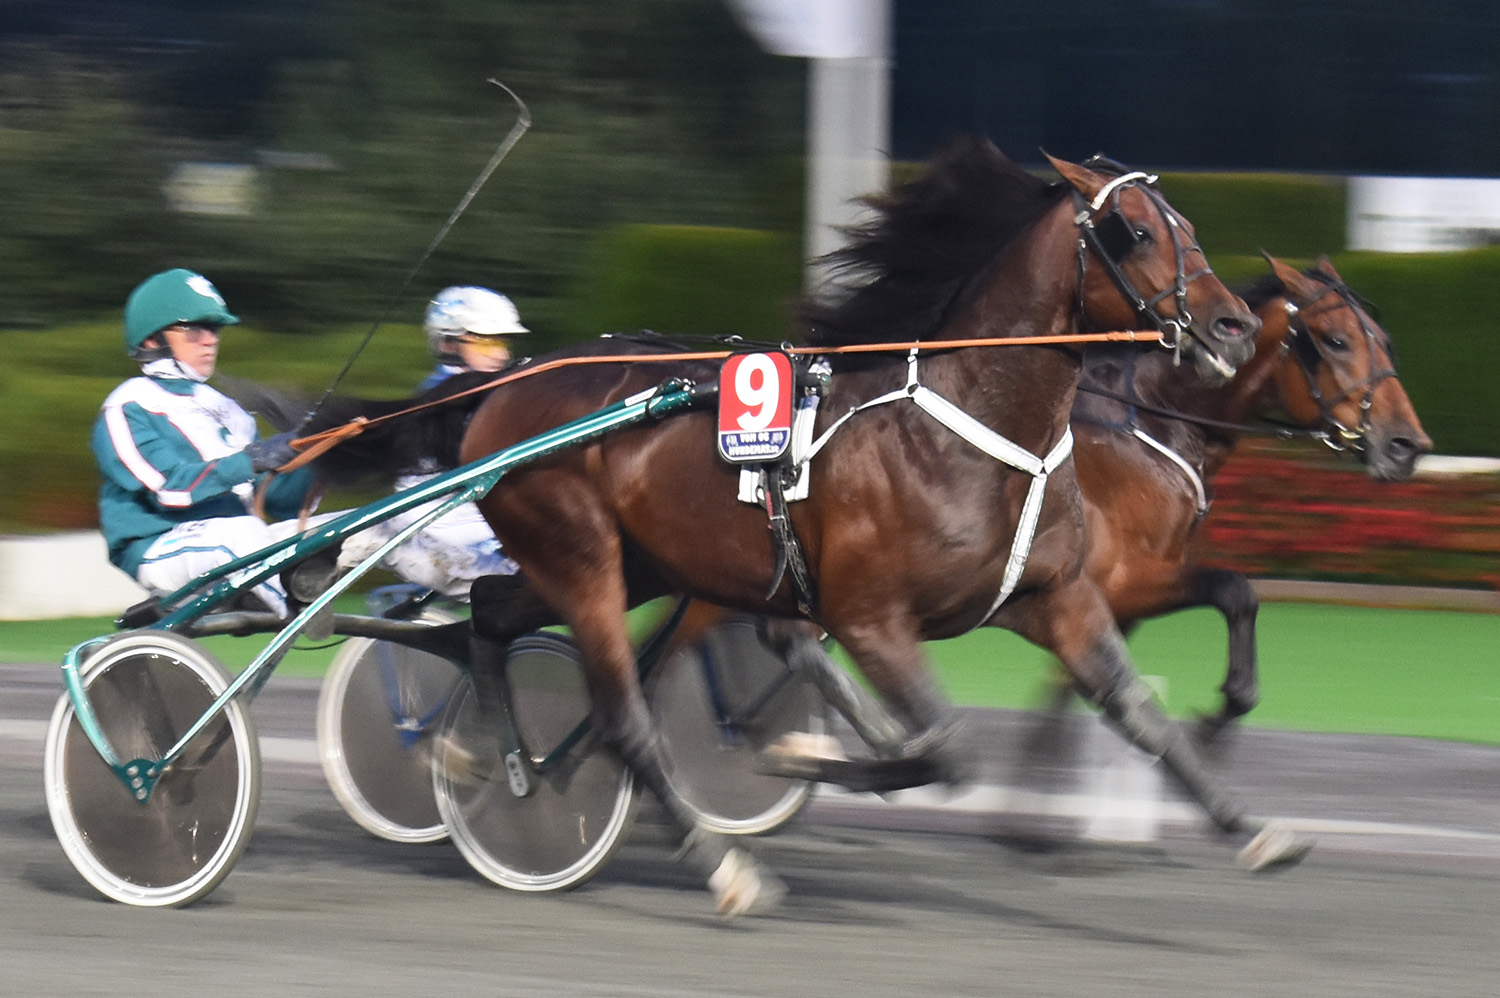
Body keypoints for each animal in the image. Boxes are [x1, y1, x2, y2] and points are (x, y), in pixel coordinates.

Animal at [417, 138, 1284, 912]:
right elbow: (946, 749)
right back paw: (718, 866)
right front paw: (805, 760)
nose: (1233, 325)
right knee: (624, 714)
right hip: (583, 556)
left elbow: (1141, 716)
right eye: (1133, 230)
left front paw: (1251, 825)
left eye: (1188, 225)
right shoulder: (871, 617)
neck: (974, 424)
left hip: (637, 564)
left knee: (493, 613)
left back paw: (486, 754)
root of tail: (504, 390)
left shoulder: (1056, 598)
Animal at [1068, 253, 1428, 735]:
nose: (1407, 444)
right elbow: (1235, 590)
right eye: (1336, 340)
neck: (1149, 416)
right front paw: (1217, 714)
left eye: (1385, 342)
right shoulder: (1115, 581)